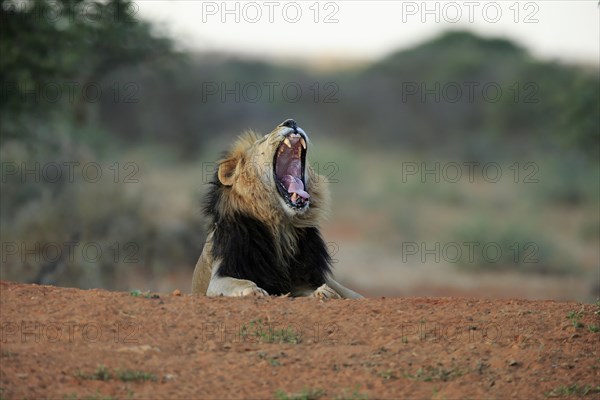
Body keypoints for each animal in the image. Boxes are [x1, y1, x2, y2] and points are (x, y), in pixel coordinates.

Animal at [192, 119, 360, 300]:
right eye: (262, 140)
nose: (291, 122)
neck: (281, 226)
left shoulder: (305, 279)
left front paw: (325, 293)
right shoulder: (220, 275)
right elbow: (241, 282)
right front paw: (254, 291)